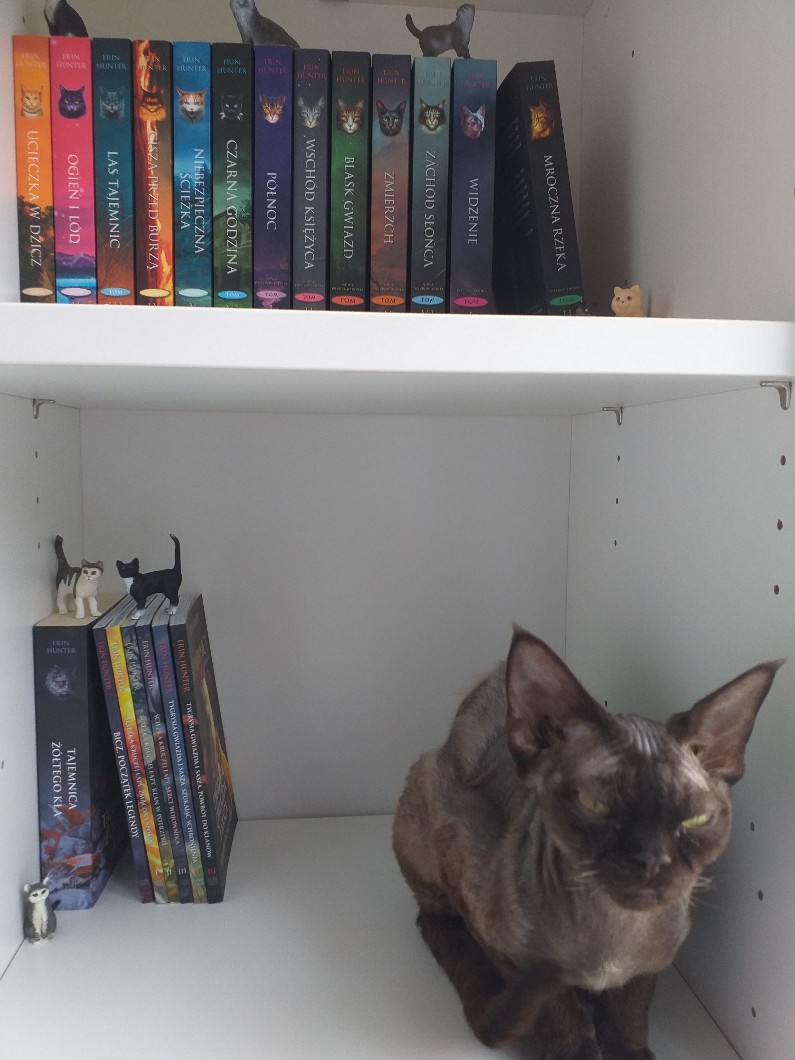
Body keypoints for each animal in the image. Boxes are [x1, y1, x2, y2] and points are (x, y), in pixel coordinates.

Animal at [393, 626, 782, 1058]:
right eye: (595, 805)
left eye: (695, 819)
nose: (653, 860)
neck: (613, 940)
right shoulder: (504, 943)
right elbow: (557, 1008)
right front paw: (575, 1049)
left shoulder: (655, 963)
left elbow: (631, 1010)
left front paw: (629, 1051)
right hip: (429, 793)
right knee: (432, 918)